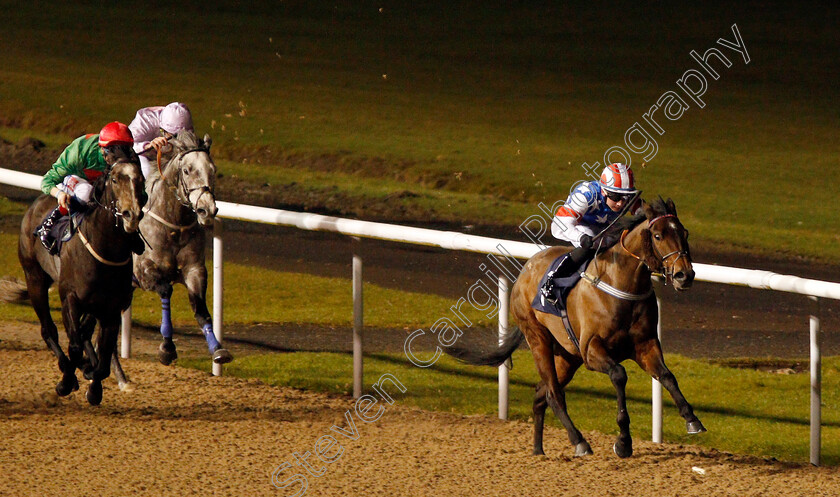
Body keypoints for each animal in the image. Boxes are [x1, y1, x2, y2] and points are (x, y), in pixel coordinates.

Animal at [14, 154, 145, 404]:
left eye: (140, 180)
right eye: (115, 179)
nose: (131, 215)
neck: (104, 249)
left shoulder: (111, 307)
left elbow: (104, 357)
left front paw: (94, 389)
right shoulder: (71, 298)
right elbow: (74, 345)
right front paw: (66, 382)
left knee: (84, 333)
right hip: (34, 277)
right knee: (48, 330)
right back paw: (68, 369)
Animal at [452, 198, 704, 458]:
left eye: (684, 233)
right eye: (657, 235)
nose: (685, 275)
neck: (622, 284)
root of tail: (525, 270)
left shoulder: (645, 345)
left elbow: (667, 375)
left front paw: (691, 419)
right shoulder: (591, 350)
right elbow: (619, 374)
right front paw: (623, 441)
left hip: (567, 356)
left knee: (540, 393)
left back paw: (538, 450)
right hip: (538, 338)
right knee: (553, 393)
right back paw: (579, 441)